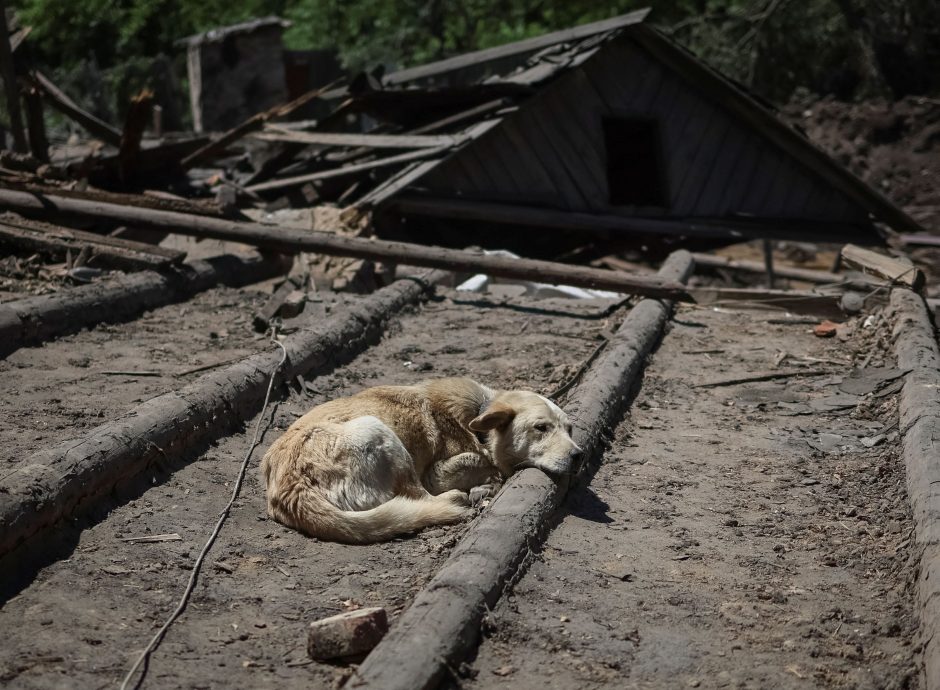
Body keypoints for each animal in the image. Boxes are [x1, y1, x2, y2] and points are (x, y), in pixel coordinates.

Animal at [258, 376, 580, 544]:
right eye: (541, 428)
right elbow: (480, 462)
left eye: (569, 429)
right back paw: (465, 497)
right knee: (420, 498)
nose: (579, 455)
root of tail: (290, 487)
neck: (479, 416)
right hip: (378, 432)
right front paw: (490, 477)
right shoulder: (435, 473)